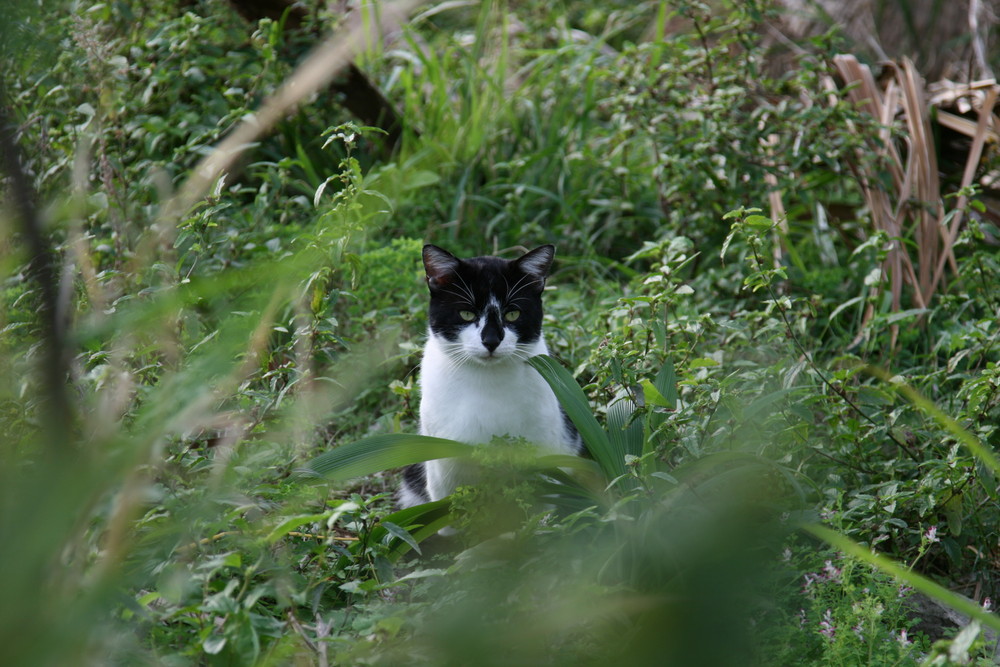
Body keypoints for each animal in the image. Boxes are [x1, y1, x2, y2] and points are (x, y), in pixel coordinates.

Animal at [398, 245, 584, 512]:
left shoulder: (545, 454)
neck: (486, 381)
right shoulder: (444, 468)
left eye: (513, 314)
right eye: (466, 313)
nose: (491, 340)